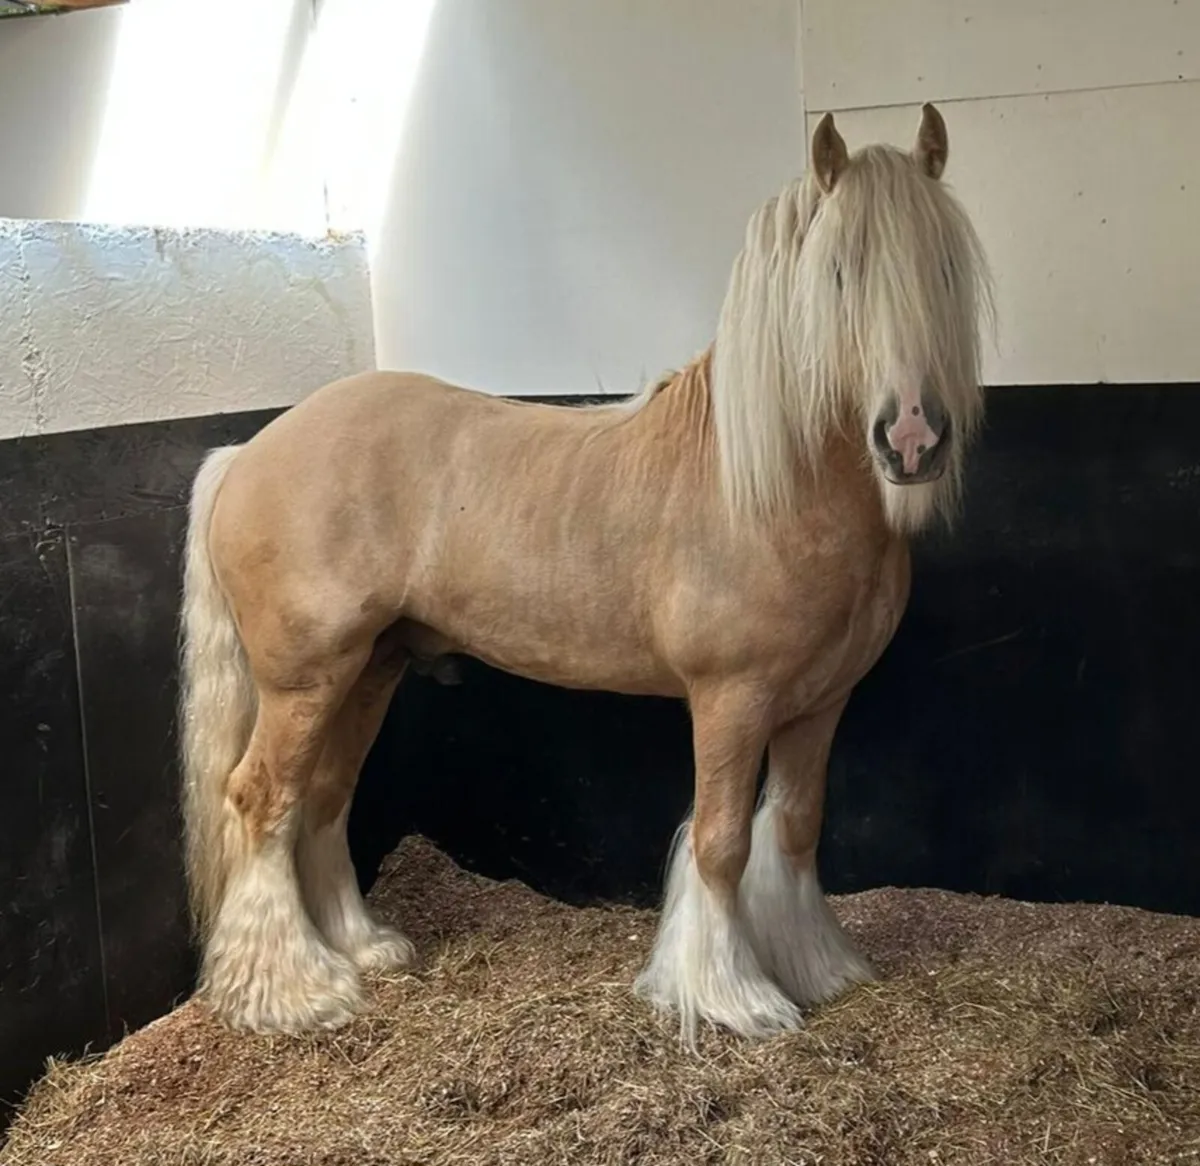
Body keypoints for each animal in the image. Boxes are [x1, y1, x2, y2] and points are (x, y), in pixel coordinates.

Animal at [178, 104, 991, 1044]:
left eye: (944, 266)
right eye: (838, 276)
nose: (912, 440)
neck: (764, 487)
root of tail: (248, 450)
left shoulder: (820, 703)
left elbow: (793, 828)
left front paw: (816, 969)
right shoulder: (731, 699)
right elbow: (721, 842)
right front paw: (731, 996)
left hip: (368, 671)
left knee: (325, 797)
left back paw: (365, 949)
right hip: (304, 679)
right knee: (261, 799)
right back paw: (295, 992)